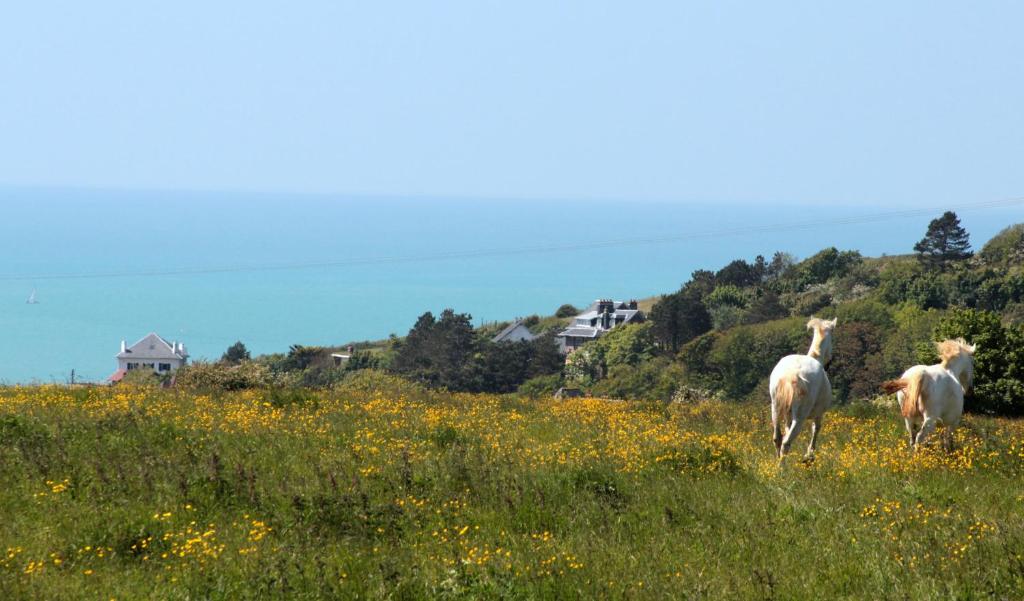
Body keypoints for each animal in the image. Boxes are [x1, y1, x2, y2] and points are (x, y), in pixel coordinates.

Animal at [770, 319, 839, 460]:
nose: (828, 364)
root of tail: (792, 373)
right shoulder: (819, 413)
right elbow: (816, 429)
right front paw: (809, 456)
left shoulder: (787, 417)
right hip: (800, 417)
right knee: (786, 442)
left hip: (775, 409)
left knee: (777, 438)